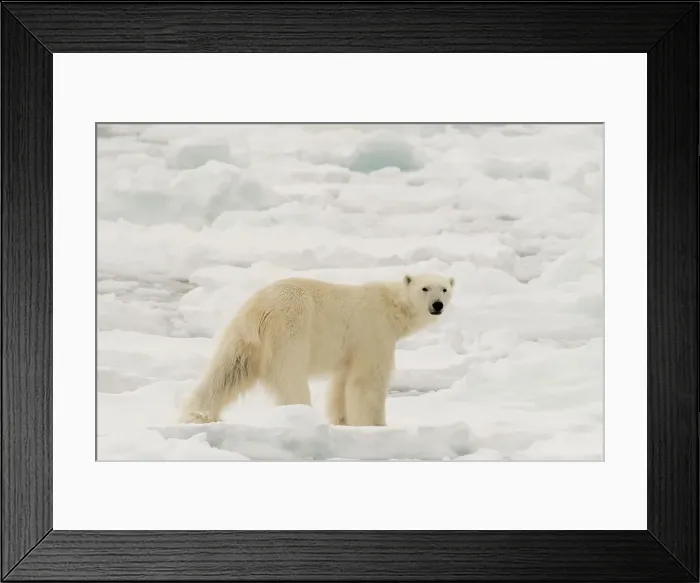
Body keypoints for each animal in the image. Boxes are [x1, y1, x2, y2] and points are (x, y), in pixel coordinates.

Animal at [179, 273, 454, 427]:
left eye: (444, 288)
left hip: (243, 337)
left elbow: (341, 382)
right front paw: (376, 424)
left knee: (228, 371)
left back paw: (198, 414)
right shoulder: (373, 333)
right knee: (290, 378)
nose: (437, 305)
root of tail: (260, 308)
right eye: (425, 288)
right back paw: (300, 416)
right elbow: (367, 380)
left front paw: (342, 420)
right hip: (291, 330)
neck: (392, 307)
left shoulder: (350, 346)